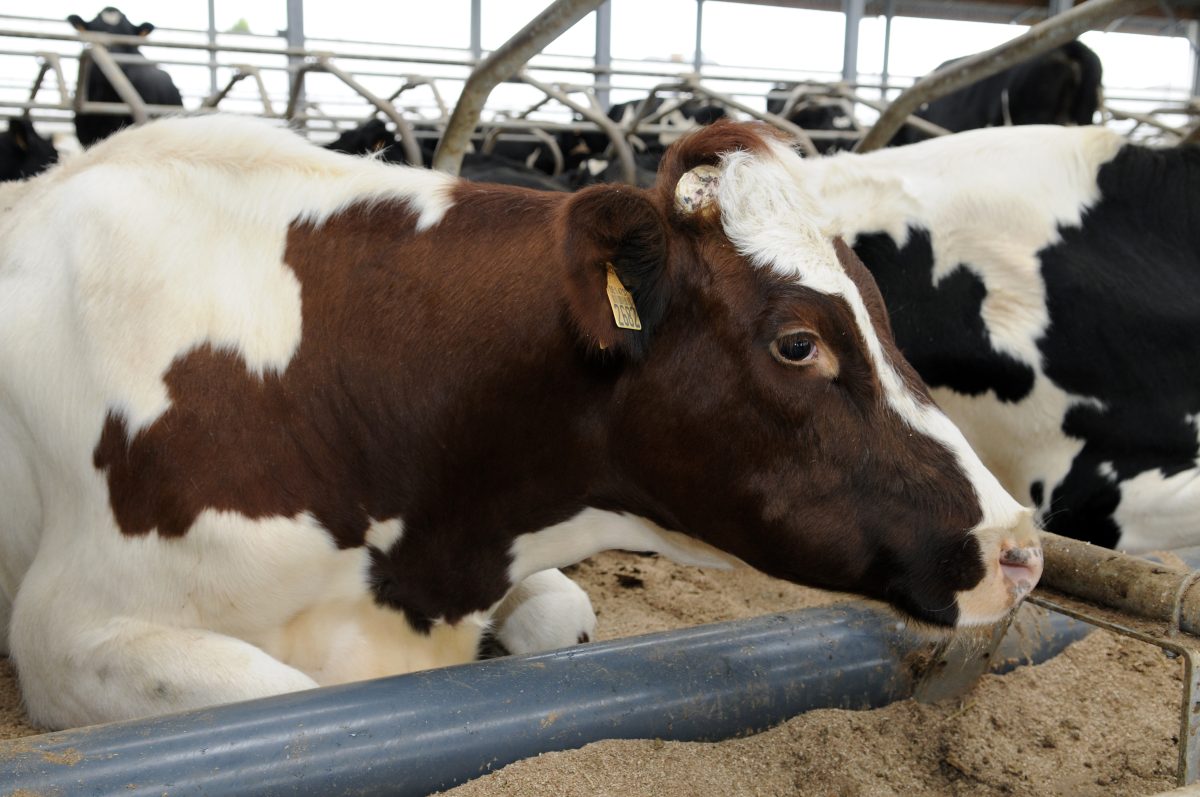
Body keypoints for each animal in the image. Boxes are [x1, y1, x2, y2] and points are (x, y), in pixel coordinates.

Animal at [0, 115, 1041, 730]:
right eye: (798, 344)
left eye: (884, 309)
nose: (1022, 546)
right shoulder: (66, 632)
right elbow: (281, 695)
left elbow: (561, 615)